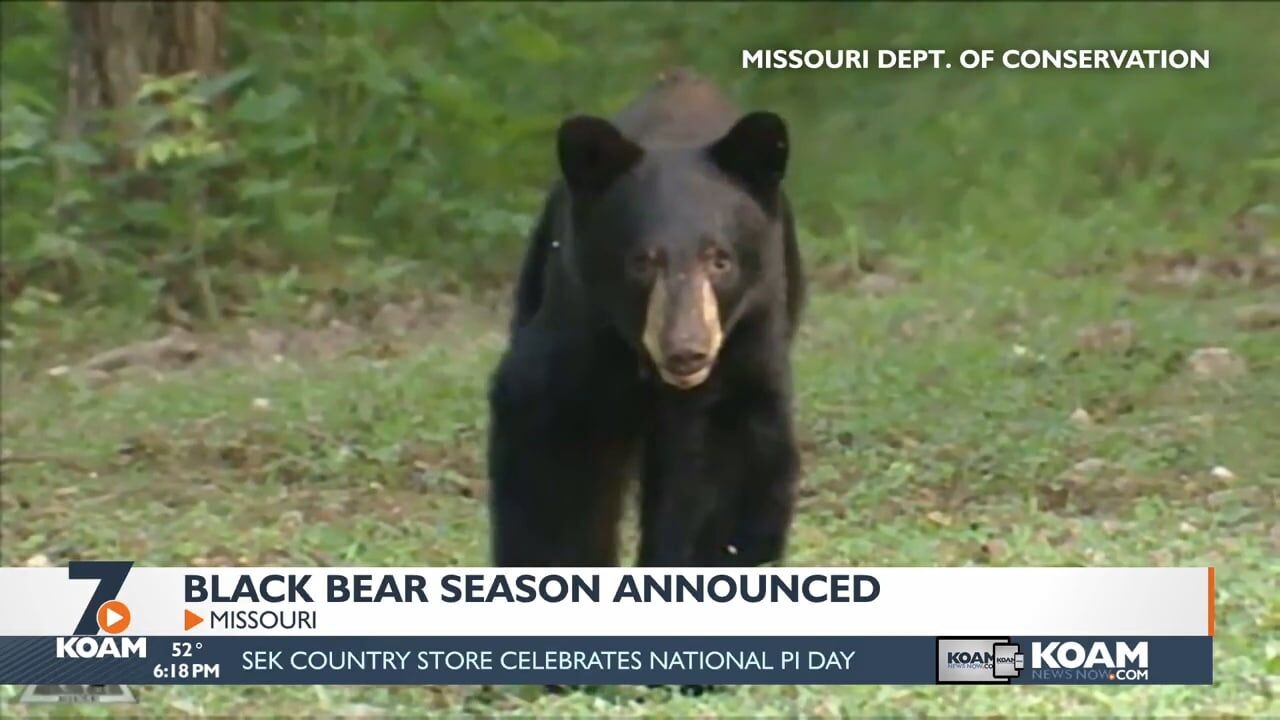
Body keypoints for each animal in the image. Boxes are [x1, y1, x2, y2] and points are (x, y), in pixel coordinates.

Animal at [486, 68, 798, 566]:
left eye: (720, 260)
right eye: (642, 262)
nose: (687, 350)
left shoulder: (749, 334)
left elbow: (725, 469)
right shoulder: (579, 317)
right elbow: (552, 445)